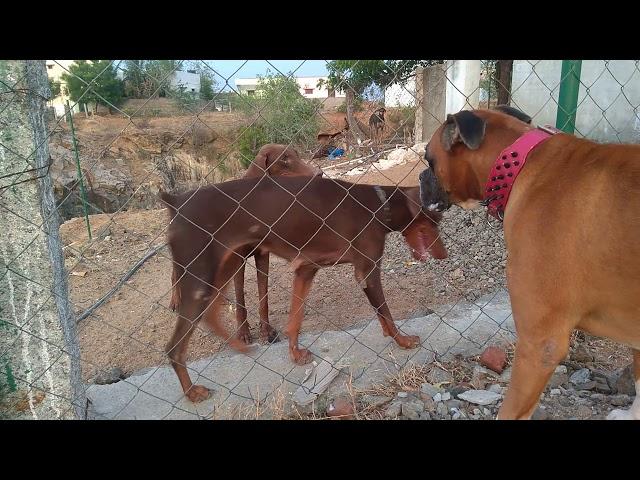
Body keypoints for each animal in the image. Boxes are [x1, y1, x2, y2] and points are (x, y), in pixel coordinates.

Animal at [162, 175, 448, 402]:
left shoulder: (306, 270)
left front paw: (295, 353)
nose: (444, 255)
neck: (380, 205)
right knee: (175, 347)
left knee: (211, 315)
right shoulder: (366, 272)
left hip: (223, 269)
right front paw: (402, 340)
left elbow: (295, 321)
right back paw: (193, 391)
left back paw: (237, 346)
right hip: (201, 278)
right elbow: (385, 312)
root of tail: (175, 202)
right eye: (434, 221)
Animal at [165, 142, 320, 344]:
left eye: (297, 154)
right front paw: (243, 333)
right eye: (283, 159)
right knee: (175, 275)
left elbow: (263, 297)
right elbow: (241, 300)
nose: (319, 174)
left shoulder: (262, 256)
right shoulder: (238, 259)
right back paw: (176, 300)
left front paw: (266, 331)